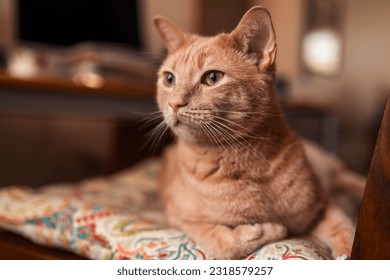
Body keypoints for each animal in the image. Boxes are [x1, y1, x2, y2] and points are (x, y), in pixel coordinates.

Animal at [154, 6, 358, 260]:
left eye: (212, 78)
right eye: (169, 79)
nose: (174, 104)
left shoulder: (322, 203)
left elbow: (346, 229)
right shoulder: (180, 218)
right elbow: (223, 245)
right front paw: (267, 229)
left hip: (328, 169)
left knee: (349, 177)